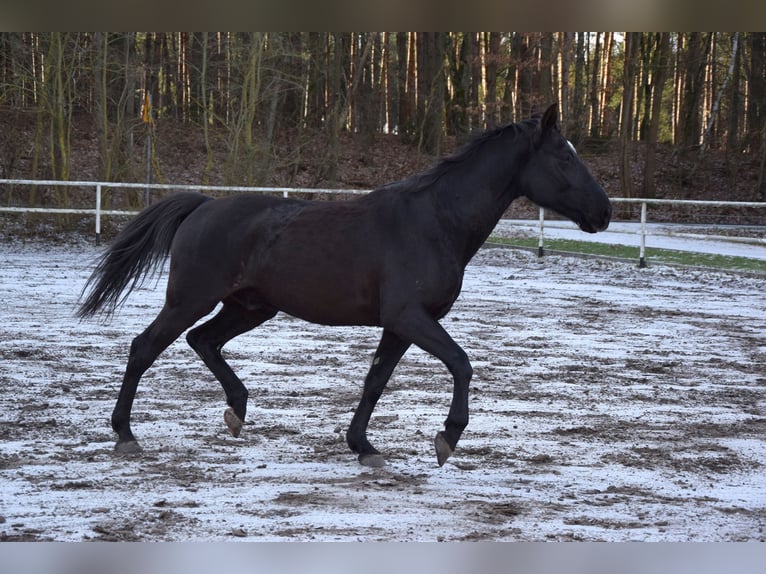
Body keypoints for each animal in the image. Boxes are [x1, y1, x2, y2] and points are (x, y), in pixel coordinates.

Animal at [78, 103, 611, 468]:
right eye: (564, 159)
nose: (604, 212)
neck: (434, 221)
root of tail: (204, 205)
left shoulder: (400, 326)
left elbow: (375, 381)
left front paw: (364, 446)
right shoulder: (409, 317)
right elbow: (461, 363)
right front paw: (447, 438)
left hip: (250, 306)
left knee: (202, 340)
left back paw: (237, 410)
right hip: (191, 298)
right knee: (145, 347)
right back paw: (126, 435)